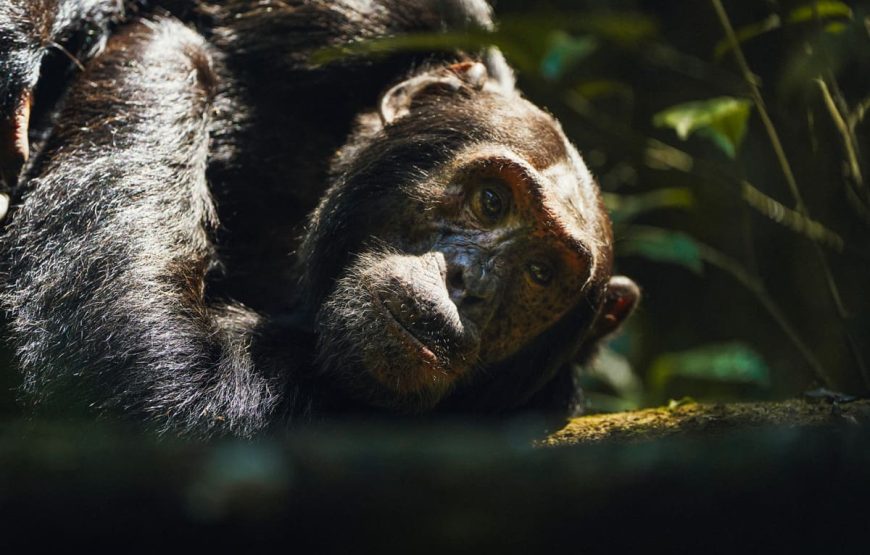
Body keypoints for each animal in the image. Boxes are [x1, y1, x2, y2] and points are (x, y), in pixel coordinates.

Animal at [0, 0, 639, 437]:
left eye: (540, 273)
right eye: (491, 202)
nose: (468, 283)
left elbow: (151, 375)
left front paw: (170, 53)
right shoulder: (368, 20)